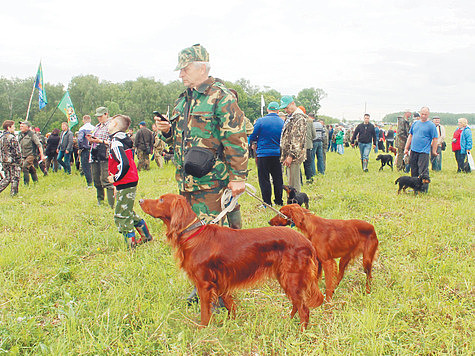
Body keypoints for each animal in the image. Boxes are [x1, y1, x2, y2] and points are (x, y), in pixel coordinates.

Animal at [138, 195, 324, 328]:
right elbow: (230, 305)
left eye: (161, 199)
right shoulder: (220, 281)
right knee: (296, 304)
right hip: (285, 278)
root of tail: (307, 242)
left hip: (291, 278)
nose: (140, 200)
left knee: (304, 309)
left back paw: (300, 331)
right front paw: (231, 322)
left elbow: (205, 312)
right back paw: (287, 321)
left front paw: (202, 330)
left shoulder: (204, 284)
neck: (194, 234)